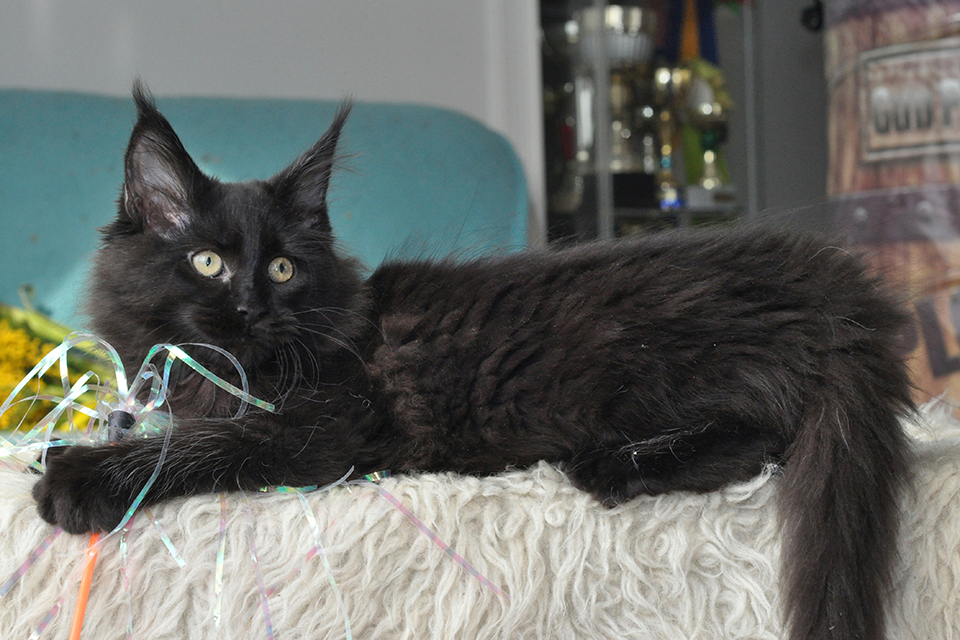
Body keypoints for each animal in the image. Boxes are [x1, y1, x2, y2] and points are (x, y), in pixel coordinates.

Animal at [31, 85, 916, 640]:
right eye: (209, 263)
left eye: (282, 268)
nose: (253, 306)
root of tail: (836, 284)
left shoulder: (326, 430)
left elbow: (198, 445)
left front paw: (78, 476)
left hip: (650, 369)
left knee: (764, 434)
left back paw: (616, 465)